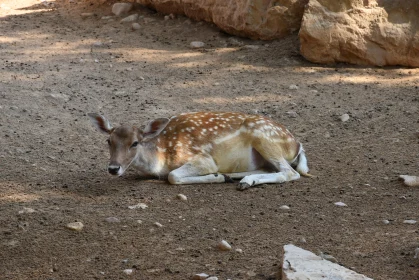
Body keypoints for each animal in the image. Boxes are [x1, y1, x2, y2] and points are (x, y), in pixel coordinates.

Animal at [88, 111, 312, 190]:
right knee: (271, 169)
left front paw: (216, 177)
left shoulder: (203, 159)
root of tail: (296, 145)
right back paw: (238, 178)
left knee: (290, 172)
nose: (113, 168)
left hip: (265, 138)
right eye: (108, 140)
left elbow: (173, 176)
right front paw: (221, 176)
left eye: (135, 143)